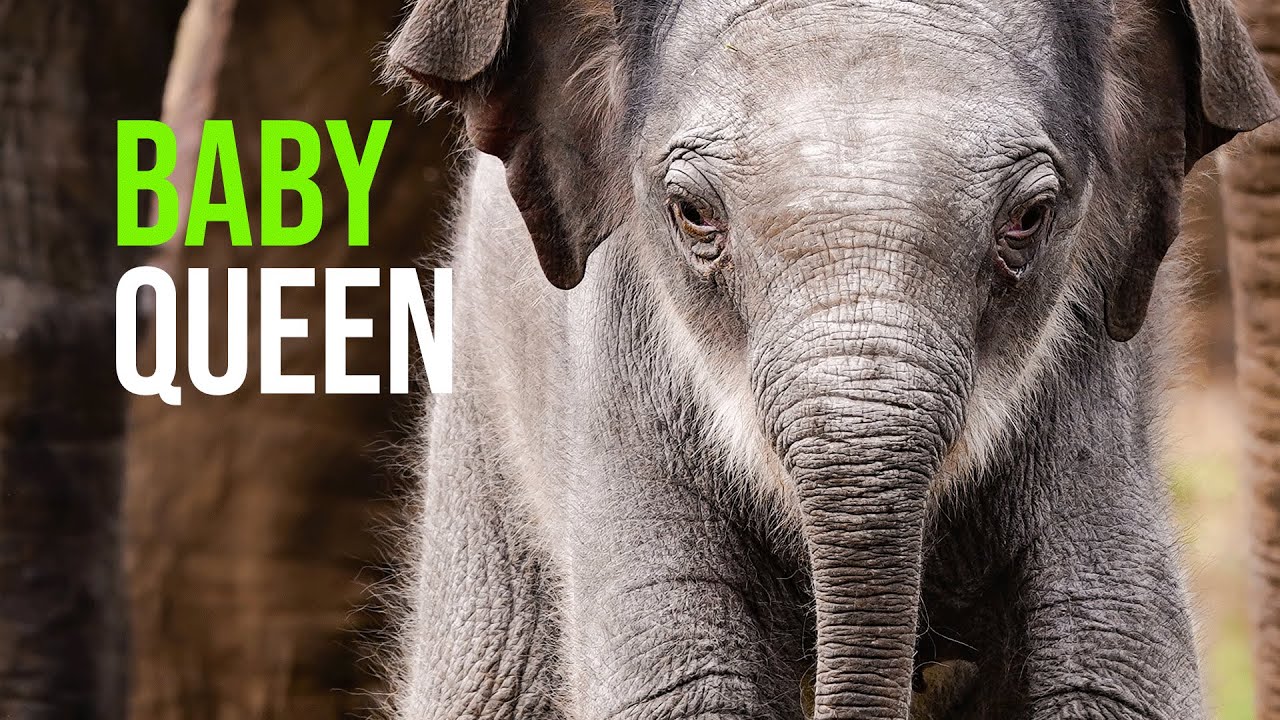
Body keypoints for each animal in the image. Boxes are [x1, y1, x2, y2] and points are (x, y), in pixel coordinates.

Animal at [383, 0, 1280, 718]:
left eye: (1029, 217)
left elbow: (1112, 673)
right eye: (692, 213)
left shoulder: (1097, 378)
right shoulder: (621, 370)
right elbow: (685, 687)